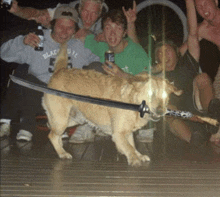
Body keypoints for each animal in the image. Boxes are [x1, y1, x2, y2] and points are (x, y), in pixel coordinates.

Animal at [41, 43, 182, 166]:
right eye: (150, 93)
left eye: (165, 96)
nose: (160, 111)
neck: (133, 102)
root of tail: (59, 71)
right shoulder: (118, 134)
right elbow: (129, 148)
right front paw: (134, 159)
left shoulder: (127, 132)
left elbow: (132, 145)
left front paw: (139, 156)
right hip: (61, 120)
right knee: (52, 135)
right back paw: (62, 153)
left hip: (73, 119)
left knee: (54, 132)